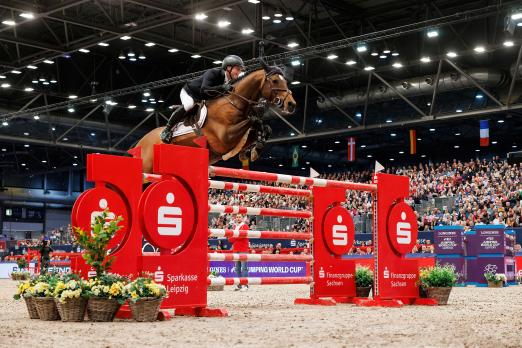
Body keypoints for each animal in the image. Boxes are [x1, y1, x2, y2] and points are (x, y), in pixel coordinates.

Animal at [135, 62, 296, 174]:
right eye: (275, 81)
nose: (291, 104)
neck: (234, 104)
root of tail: (140, 142)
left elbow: (263, 128)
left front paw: (255, 148)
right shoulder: (225, 138)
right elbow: (254, 120)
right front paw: (256, 146)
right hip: (146, 168)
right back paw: (166, 134)